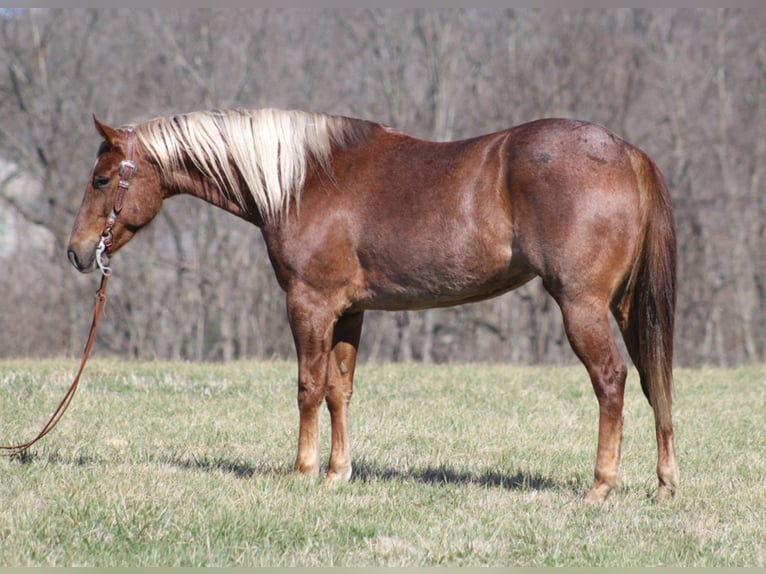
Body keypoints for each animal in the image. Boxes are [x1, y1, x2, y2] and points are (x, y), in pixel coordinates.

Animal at [66, 109, 680, 504]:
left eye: (102, 179)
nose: (76, 252)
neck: (303, 180)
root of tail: (626, 153)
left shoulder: (309, 303)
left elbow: (308, 387)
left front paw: (302, 472)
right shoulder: (349, 311)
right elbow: (340, 389)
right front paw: (337, 474)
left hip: (582, 305)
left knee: (611, 380)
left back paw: (601, 485)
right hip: (627, 308)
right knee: (656, 380)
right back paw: (665, 483)